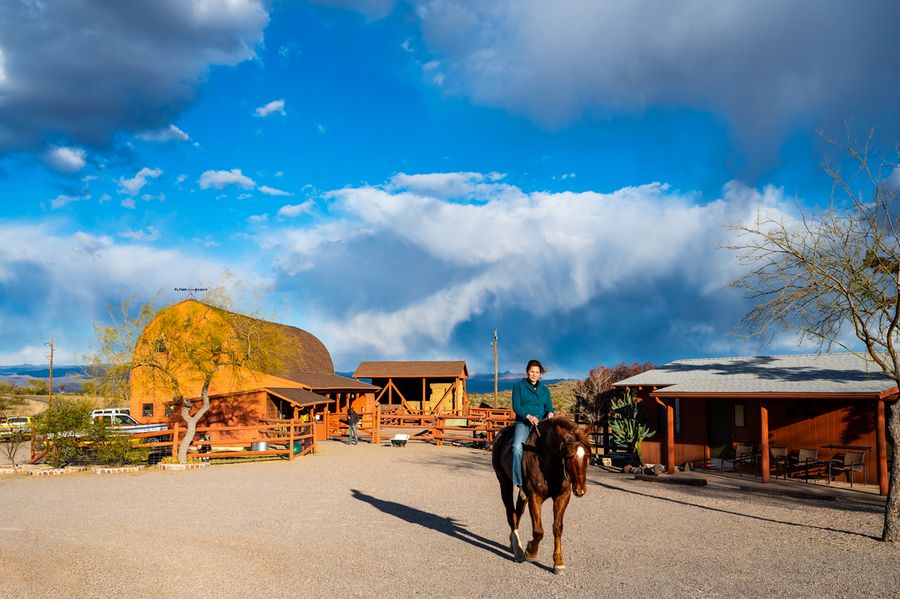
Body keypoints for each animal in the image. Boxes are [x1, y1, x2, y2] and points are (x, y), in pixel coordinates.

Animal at [492, 418, 592, 576]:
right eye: (569, 456)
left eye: (587, 456)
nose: (580, 490)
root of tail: (499, 436)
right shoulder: (535, 497)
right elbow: (538, 531)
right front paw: (530, 552)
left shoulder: (562, 496)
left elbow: (557, 528)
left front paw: (558, 562)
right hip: (504, 482)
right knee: (510, 513)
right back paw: (518, 551)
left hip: (523, 494)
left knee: (518, 511)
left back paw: (514, 544)